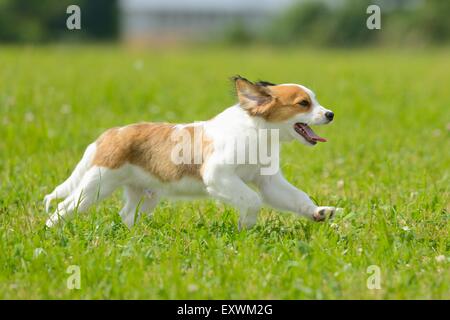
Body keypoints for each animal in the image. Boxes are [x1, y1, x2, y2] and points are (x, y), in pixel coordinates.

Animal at [44, 76, 338, 229]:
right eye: (303, 103)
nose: (331, 114)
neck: (258, 132)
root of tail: (111, 134)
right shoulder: (218, 175)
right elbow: (252, 200)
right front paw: (246, 225)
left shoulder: (269, 182)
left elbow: (297, 197)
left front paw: (319, 212)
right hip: (96, 185)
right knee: (63, 207)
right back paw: (50, 233)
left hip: (145, 195)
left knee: (126, 215)